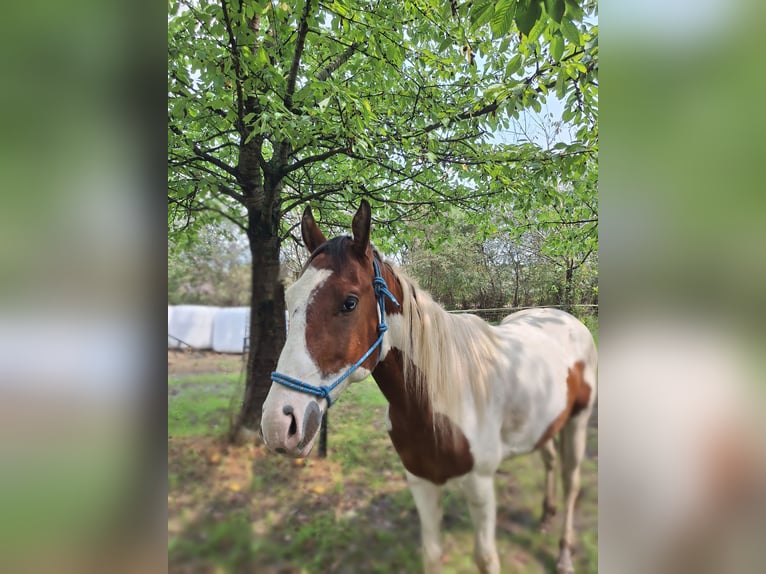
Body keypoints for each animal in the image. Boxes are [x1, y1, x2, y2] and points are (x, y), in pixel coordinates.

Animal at [262, 201, 600, 574]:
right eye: (289, 298)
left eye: (349, 302)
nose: (279, 424)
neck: (439, 401)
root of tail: (565, 318)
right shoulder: (421, 481)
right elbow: (432, 554)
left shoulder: (480, 486)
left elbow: (486, 559)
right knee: (550, 460)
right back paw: (545, 516)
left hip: (578, 422)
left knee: (571, 481)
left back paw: (564, 555)